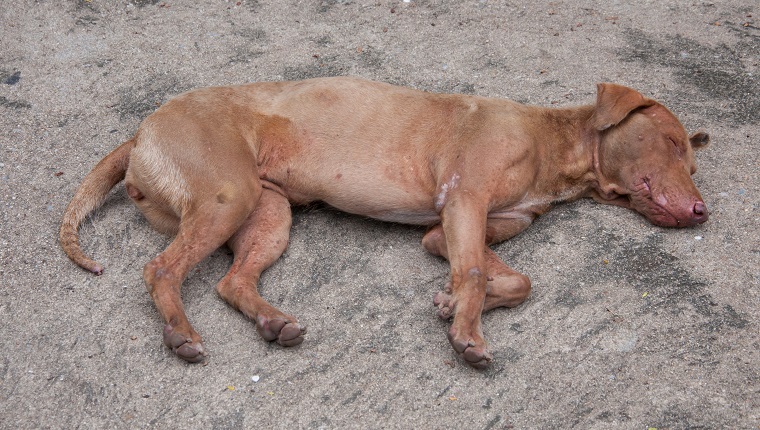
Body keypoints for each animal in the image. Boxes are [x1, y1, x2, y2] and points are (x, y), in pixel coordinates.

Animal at [58, 75, 708, 368]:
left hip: (269, 214)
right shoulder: (464, 201)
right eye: (674, 144)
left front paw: (451, 304)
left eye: (691, 157)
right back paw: (180, 333)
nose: (704, 210)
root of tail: (142, 131)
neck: (550, 147)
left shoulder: (452, 228)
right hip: (227, 197)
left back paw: (273, 323)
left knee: (231, 279)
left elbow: (511, 279)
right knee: (161, 268)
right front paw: (467, 332)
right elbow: (476, 274)